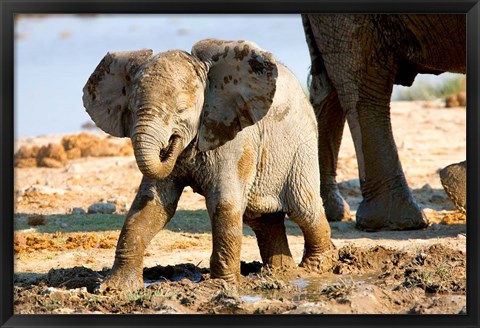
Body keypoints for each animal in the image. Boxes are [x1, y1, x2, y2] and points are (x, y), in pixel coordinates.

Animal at [83, 39, 334, 292]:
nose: (171, 144)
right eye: (132, 109)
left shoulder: (234, 137)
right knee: (262, 219)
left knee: (304, 209)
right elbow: (150, 205)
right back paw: (282, 273)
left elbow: (224, 203)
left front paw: (221, 286)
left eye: (181, 110)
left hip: (301, 147)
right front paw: (113, 289)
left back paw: (315, 268)